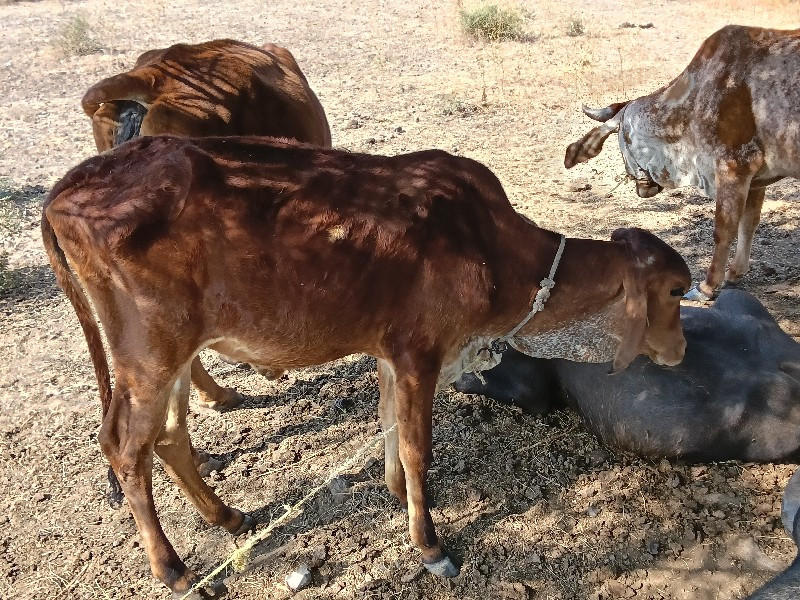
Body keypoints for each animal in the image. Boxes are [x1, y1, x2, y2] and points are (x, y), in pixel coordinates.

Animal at [42, 137, 688, 600]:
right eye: (678, 290)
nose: (682, 350)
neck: (493, 249)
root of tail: (65, 190)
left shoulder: (388, 352)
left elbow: (388, 423)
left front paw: (395, 491)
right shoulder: (419, 351)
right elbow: (418, 445)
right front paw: (429, 545)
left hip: (175, 356)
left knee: (171, 436)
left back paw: (226, 515)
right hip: (148, 354)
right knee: (125, 446)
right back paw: (174, 569)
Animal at [564, 26, 800, 302]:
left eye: (624, 140)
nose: (640, 187)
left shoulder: (733, 166)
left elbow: (724, 229)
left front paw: (707, 287)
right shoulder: (756, 179)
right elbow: (748, 223)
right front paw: (735, 273)